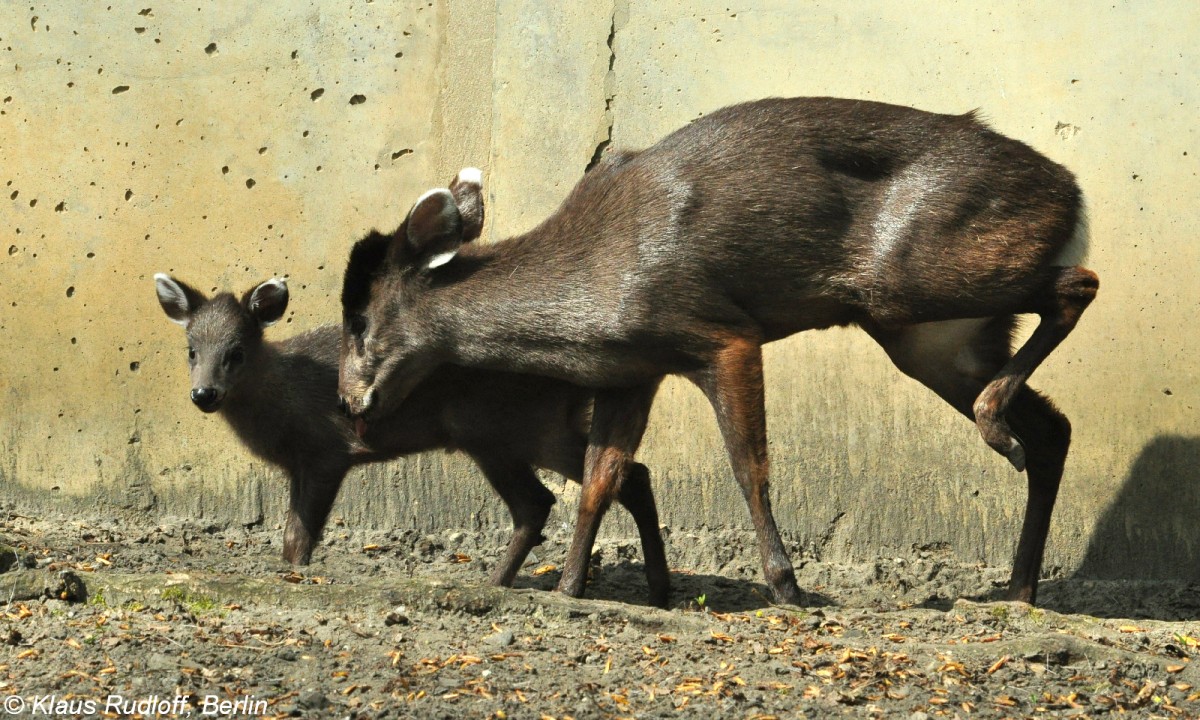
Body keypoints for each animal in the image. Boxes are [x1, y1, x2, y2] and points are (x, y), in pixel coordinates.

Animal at [153, 172, 672, 602]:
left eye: (237, 351)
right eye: (191, 350)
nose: (204, 394)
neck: (283, 394)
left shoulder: (325, 451)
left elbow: (299, 537)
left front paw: (296, 574)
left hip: (507, 427)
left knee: (558, 494)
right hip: (514, 431)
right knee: (606, 481)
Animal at [338, 97, 1099, 607]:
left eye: (359, 319)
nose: (350, 402)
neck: (595, 287)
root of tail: (1073, 192)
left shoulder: (719, 333)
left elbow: (747, 466)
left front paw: (788, 586)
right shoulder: (630, 370)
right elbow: (602, 477)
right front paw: (572, 587)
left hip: (911, 285)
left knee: (1078, 285)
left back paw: (996, 430)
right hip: (938, 338)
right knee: (1054, 426)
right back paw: (1017, 587)